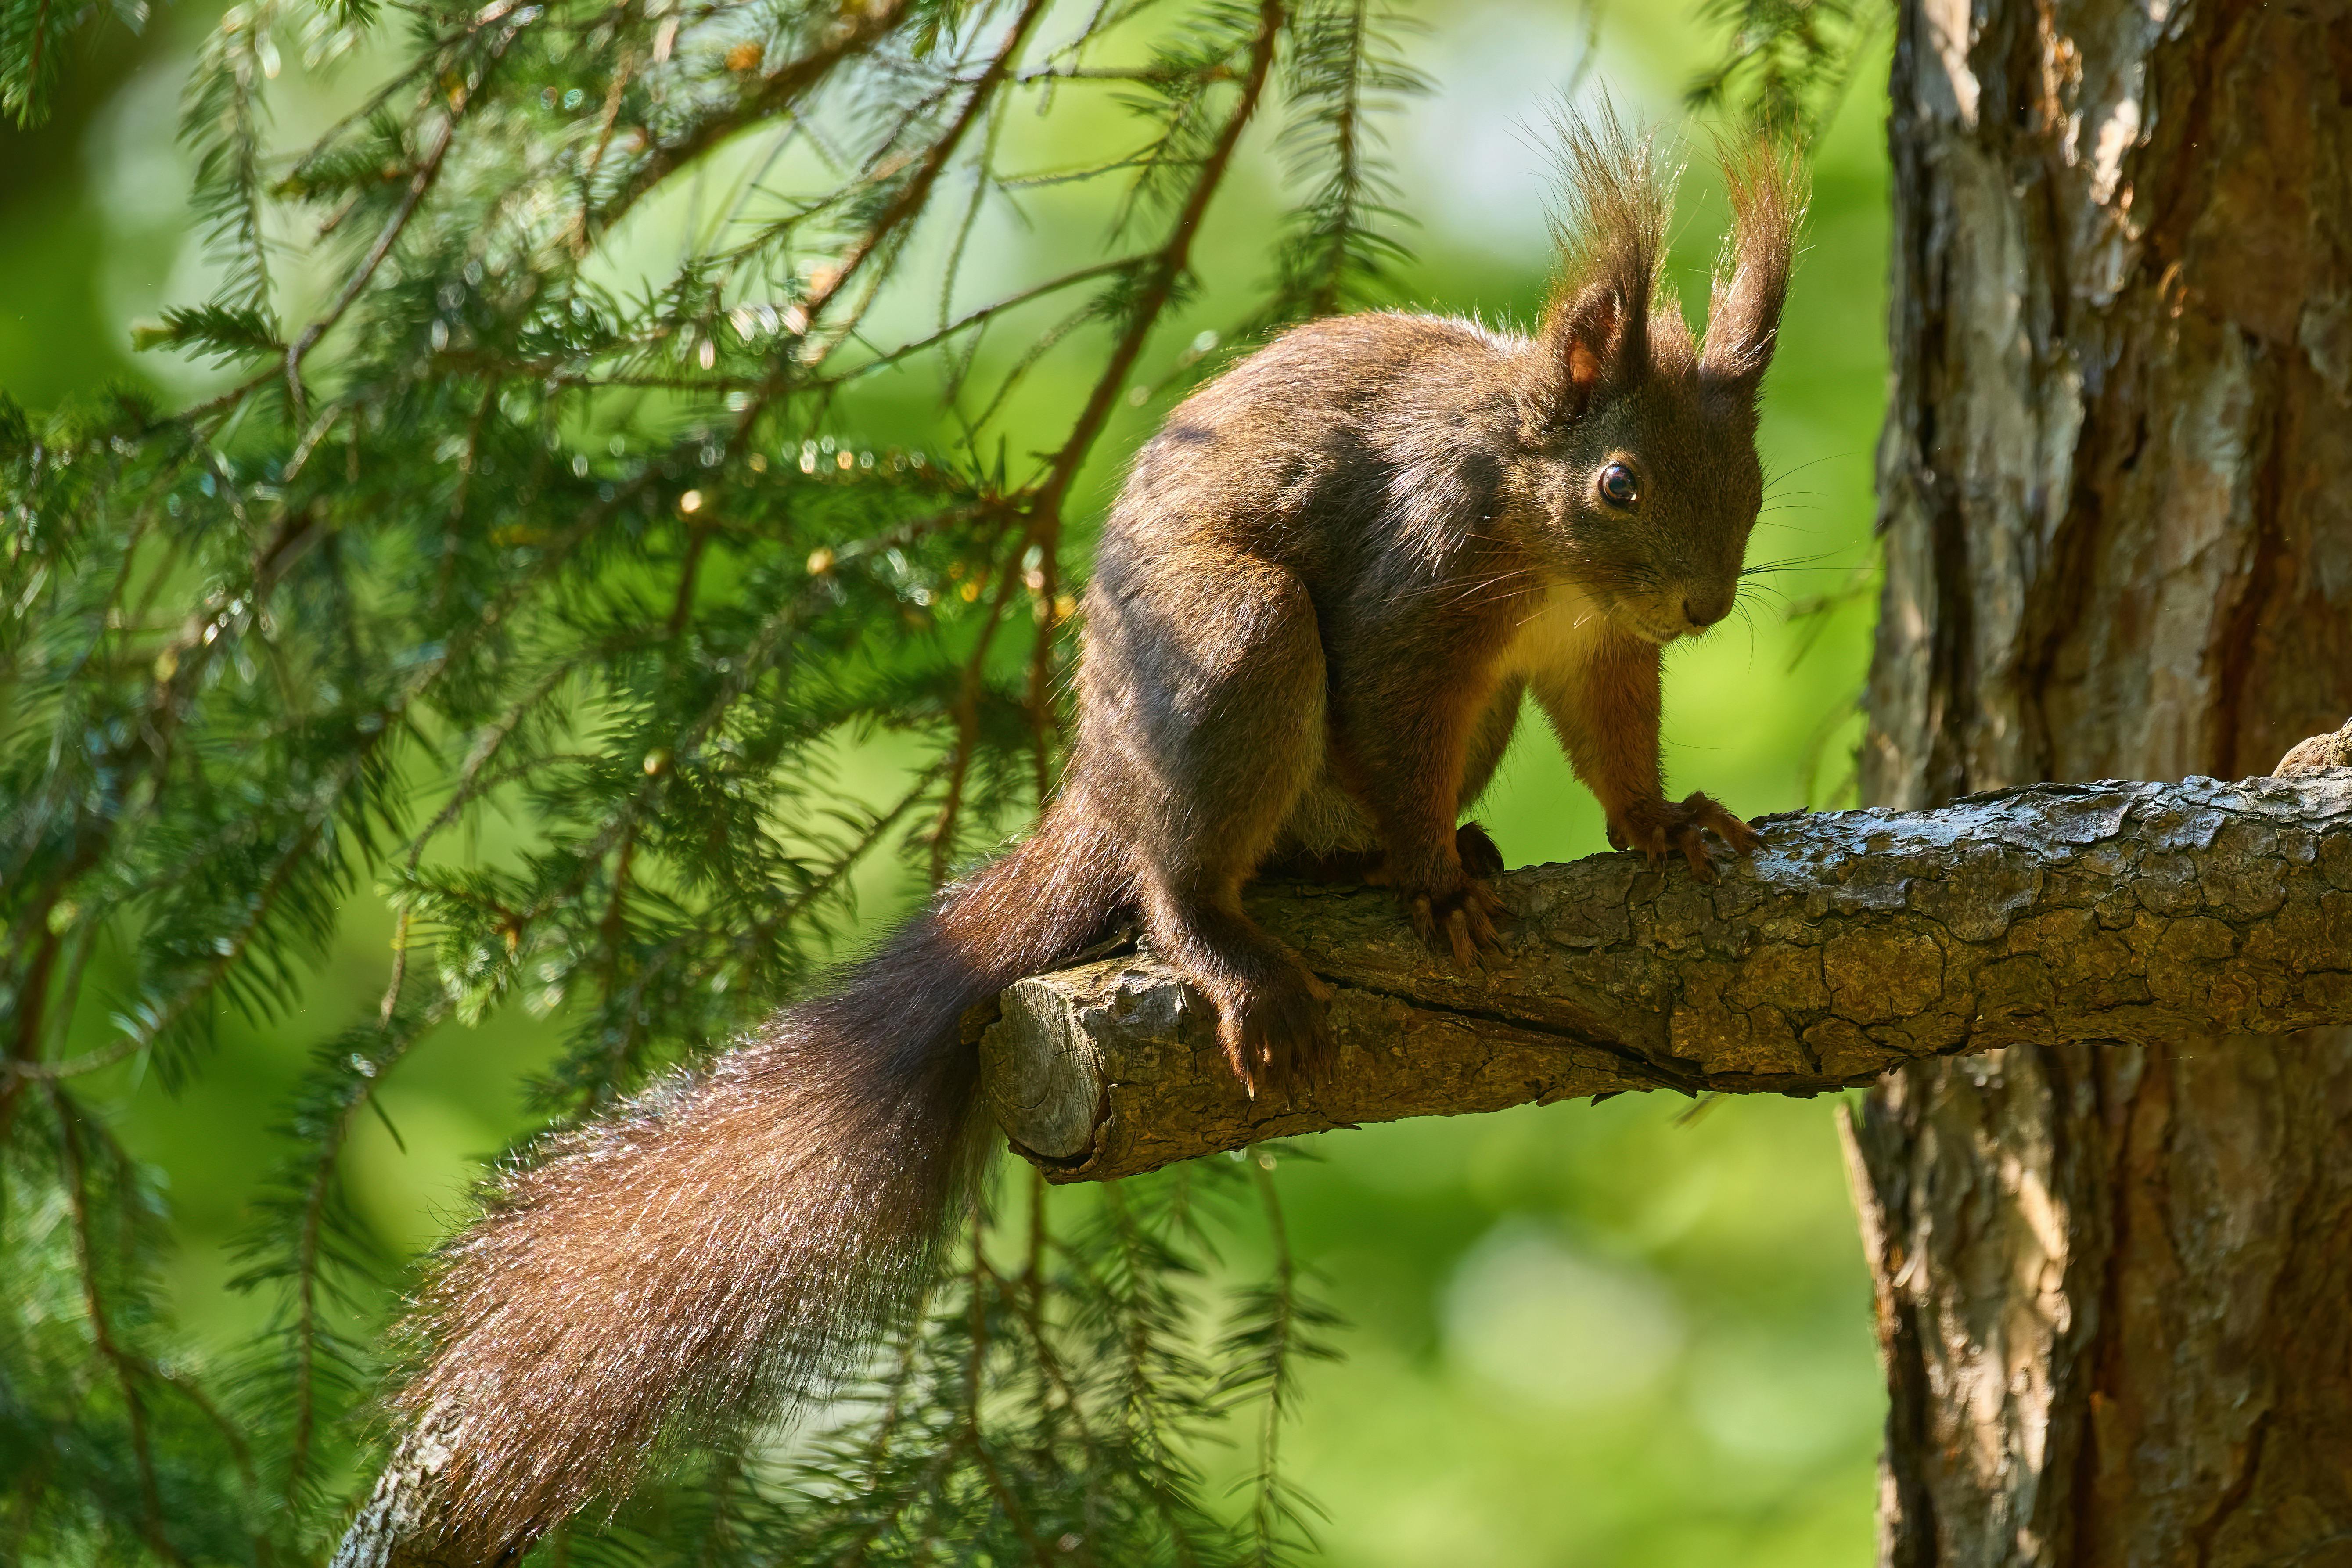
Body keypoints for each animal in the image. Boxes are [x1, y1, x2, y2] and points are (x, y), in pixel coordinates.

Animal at [385, 116, 1806, 1561]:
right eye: (1619, 482)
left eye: (1750, 479)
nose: (1702, 604)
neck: (1540, 529)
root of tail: (1100, 780)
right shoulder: (1411, 593)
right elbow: (1393, 724)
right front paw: (1429, 879)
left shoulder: (1593, 653)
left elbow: (1616, 745)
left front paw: (1662, 825)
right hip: (1233, 641)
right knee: (1177, 873)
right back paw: (1252, 935)